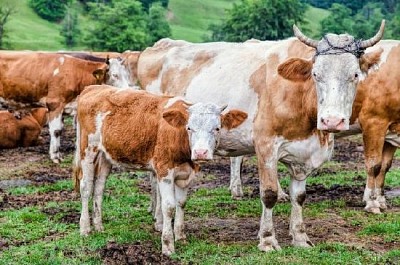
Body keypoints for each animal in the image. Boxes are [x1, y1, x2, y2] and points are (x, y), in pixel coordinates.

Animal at [0, 50, 133, 162]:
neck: (74, 73)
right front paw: (55, 156)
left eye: (127, 75)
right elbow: (56, 131)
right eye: (115, 75)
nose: (128, 92)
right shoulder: (55, 104)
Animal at [72, 84, 247, 254]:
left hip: (105, 155)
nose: (200, 152)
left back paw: (99, 225)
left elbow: (181, 203)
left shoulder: (186, 175)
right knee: (86, 187)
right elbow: (168, 206)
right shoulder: (164, 171)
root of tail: (94, 87)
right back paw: (85, 228)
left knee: (99, 188)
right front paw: (168, 245)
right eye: (189, 128)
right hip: (88, 149)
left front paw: (180, 236)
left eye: (217, 128)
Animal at [137, 21, 384, 251]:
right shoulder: (266, 145)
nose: (331, 121)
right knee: (155, 179)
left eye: (355, 74)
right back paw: (159, 220)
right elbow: (269, 193)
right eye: (316, 74)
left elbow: (299, 197)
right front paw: (267, 240)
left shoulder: (303, 154)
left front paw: (300, 237)